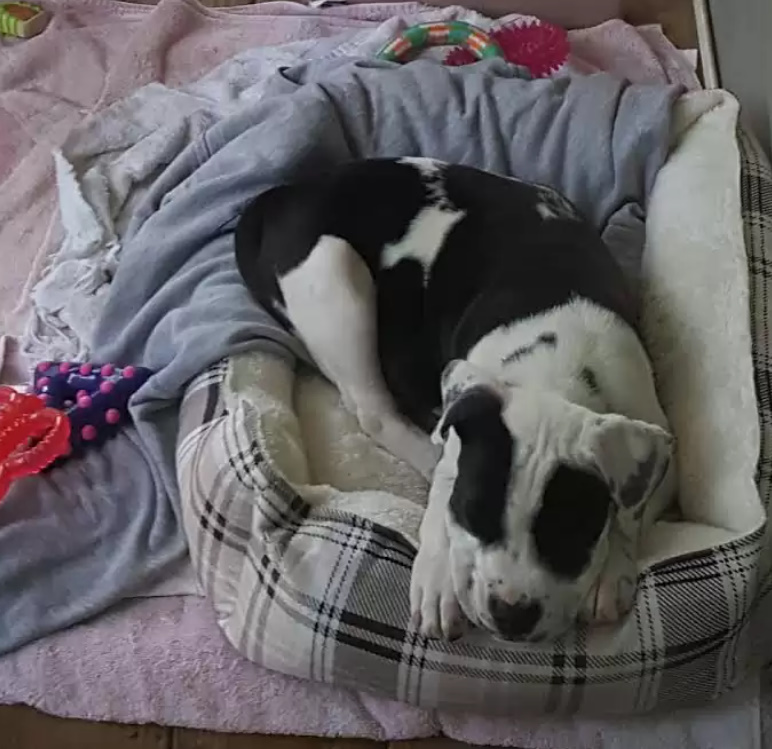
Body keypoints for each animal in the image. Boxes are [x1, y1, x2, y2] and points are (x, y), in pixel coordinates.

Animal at [234, 158, 676, 644]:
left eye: (570, 532)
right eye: (471, 513)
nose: (511, 614)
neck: (553, 374)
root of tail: (282, 195)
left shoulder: (657, 442)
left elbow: (634, 509)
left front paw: (610, 570)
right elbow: (444, 490)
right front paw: (438, 577)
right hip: (335, 277)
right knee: (375, 411)